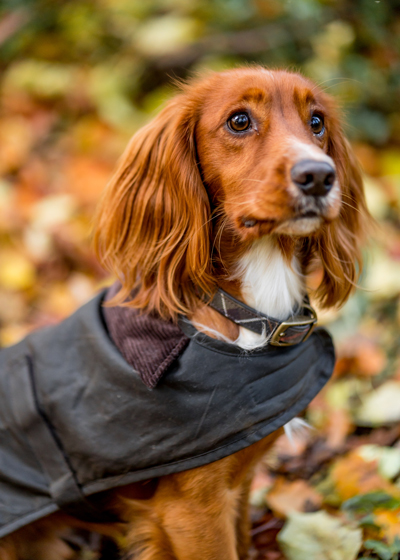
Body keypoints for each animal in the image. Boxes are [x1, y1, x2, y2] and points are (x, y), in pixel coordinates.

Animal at [0, 69, 368, 560]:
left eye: (316, 122)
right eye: (239, 121)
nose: (319, 176)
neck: (241, 314)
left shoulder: (238, 486)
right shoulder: (192, 510)